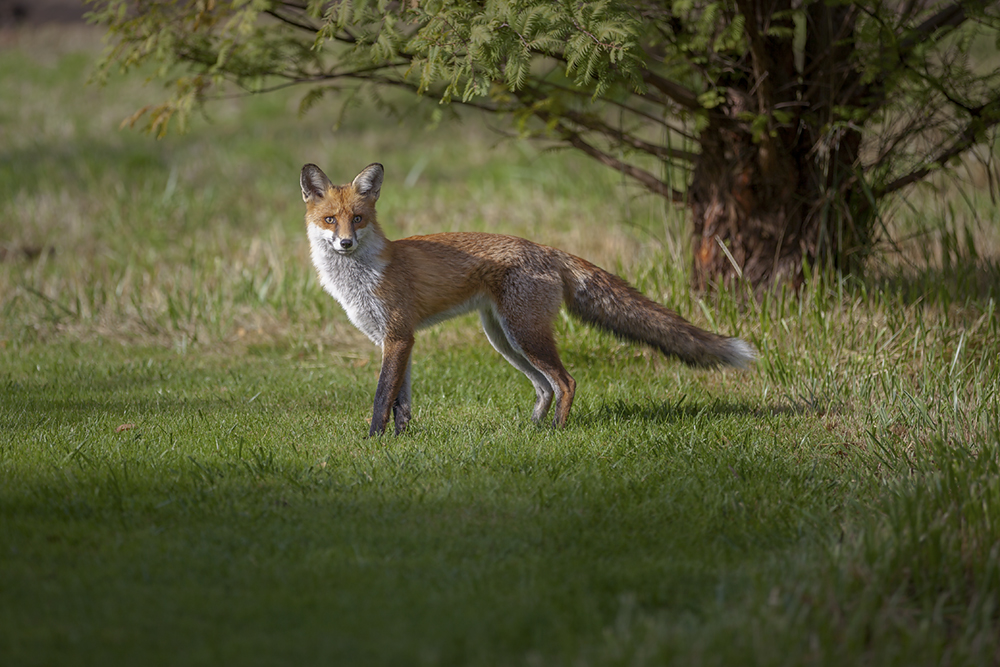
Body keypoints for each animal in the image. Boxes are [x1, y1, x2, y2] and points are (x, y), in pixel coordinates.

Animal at [300, 164, 752, 436]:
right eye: (330, 220)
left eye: (358, 219)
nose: (345, 243)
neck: (362, 274)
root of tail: (546, 248)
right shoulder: (399, 339)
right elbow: (401, 401)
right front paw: (400, 440)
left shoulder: (396, 336)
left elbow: (382, 397)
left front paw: (373, 441)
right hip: (505, 338)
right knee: (545, 386)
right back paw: (532, 429)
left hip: (523, 334)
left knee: (565, 382)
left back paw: (556, 432)